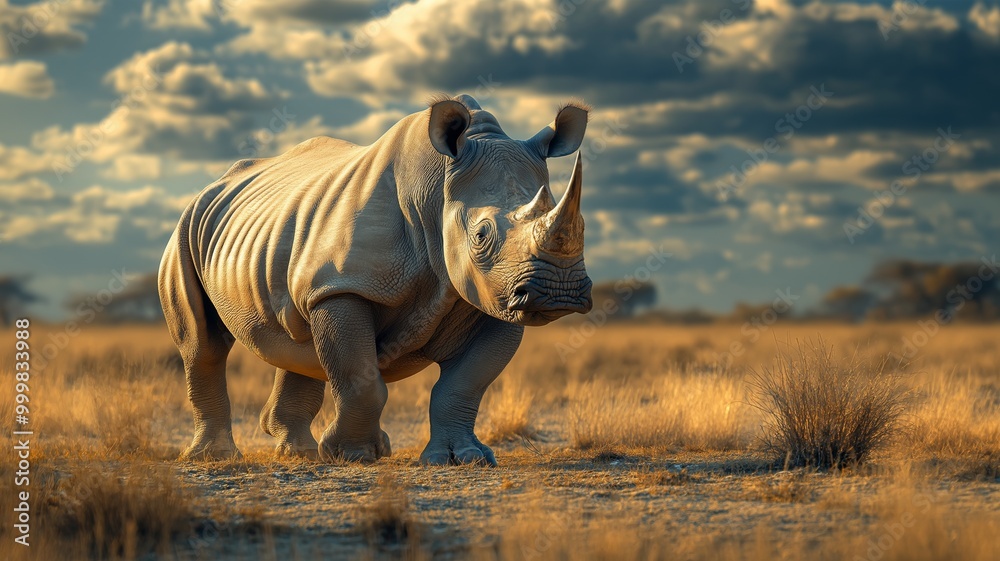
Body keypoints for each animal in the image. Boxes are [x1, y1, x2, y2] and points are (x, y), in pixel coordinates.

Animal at [158, 94, 593, 466]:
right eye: (481, 234)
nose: (559, 293)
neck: (437, 192)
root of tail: (212, 186)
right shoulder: (342, 285)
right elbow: (360, 377)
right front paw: (353, 455)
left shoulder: (494, 297)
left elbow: (463, 384)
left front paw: (464, 458)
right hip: (184, 230)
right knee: (204, 344)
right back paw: (214, 457)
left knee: (297, 337)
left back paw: (297, 453)